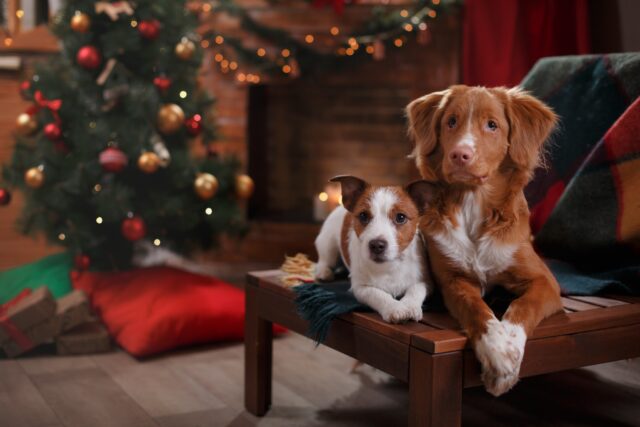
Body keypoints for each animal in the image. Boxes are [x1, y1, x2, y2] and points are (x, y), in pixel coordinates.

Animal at [408, 85, 564, 396]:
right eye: (451, 121)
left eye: (492, 125)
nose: (460, 154)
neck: (473, 202)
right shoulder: (453, 280)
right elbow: (477, 309)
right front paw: (497, 351)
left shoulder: (546, 282)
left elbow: (523, 306)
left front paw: (509, 349)